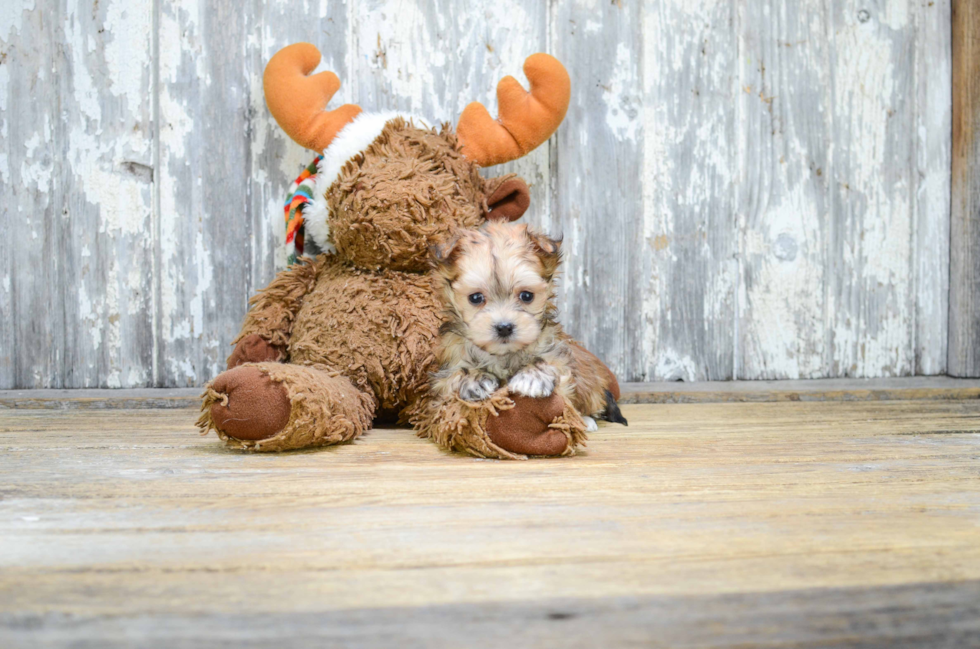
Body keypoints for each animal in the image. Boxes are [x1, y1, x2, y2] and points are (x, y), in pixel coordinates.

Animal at [428, 219, 628, 430]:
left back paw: (586, 421)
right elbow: (453, 376)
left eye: (526, 296)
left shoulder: (556, 353)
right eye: (475, 298)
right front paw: (473, 378)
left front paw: (533, 375)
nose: (504, 327)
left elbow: (553, 367)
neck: (503, 355)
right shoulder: (445, 370)